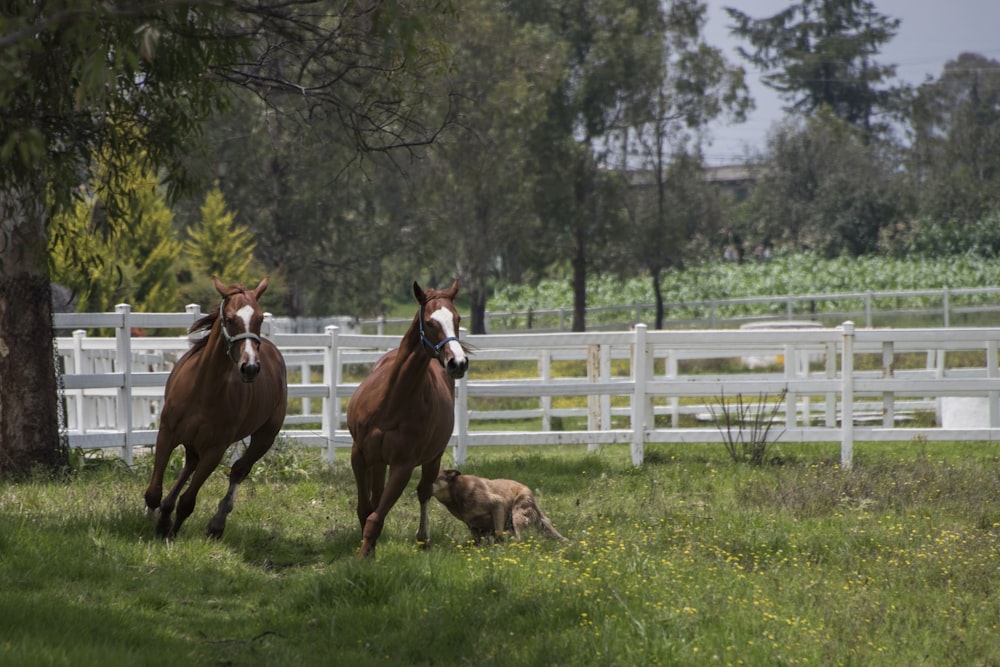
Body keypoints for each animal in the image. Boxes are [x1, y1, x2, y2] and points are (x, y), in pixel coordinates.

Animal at [143, 280, 288, 540]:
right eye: (230, 319)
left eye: (260, 318)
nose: (250, 367)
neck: (203, 389)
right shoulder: (167, 433)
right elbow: (154, 491)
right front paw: (154, 520)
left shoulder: (215, 449)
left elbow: (188, 502)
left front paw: (170, 533)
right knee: (190, 464)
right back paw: (166, 511)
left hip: (265, 436)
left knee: (239, 470)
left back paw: (216, 524)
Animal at [348, 280, 468, 560]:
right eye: (431, 322)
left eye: (457, 319)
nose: (458, 363)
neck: (390, 404)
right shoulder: (359, 455)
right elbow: (365, 508)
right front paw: (366, 551)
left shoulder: (403, 465)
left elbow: (376, 516)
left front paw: (365, 554)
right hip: (378, 461)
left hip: (432, 459)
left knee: (424, 492)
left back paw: (423, 538)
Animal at [434, 470, 568, 544]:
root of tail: (528, 490)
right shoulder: (471, 524)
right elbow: (477, 538)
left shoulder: (497, 504)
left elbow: (498, 532)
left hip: (517, 516)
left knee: (519, 538)